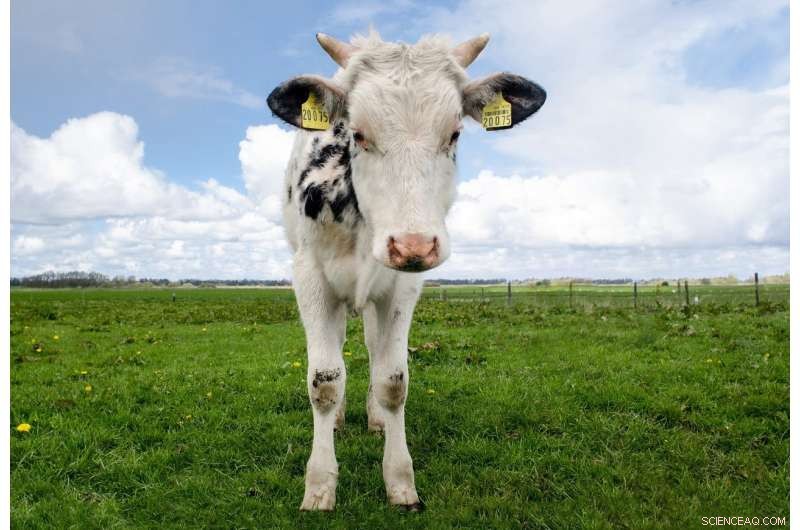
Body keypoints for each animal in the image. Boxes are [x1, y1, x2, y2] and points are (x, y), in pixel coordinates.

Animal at [266, 31, 546, 511]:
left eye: (454, 133)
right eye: (358, 133)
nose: (412, 244)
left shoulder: (404, 283)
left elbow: (393, 380)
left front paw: (400, 481)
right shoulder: (309, 276)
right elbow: (324, 381)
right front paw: (319, 485)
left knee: (374, 349)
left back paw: (375, 418)